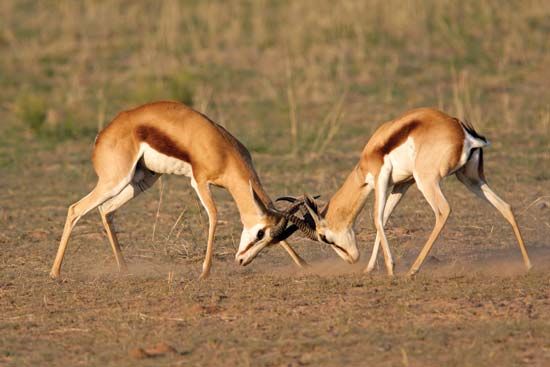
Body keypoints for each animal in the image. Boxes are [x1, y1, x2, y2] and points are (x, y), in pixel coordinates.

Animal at [49, 100, 308, 278]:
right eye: (260, 234)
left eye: (269, 239)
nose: (242, 261)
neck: (223, 150)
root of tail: (102, 135)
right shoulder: (199, 182)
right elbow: (214, 216)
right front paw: (204, 272)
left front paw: (302, 263)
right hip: (115, 181)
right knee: (76, 209)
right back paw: (55, 273)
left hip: (141, 181)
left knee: (106, 210)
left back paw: (124, 268)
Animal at [276, 108, 536, 278]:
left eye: (324, 237)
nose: (352, 259)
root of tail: (464, 133)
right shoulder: (402, 184)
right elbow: (384, 218)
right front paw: (370, 268)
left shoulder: (380, 178)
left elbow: (377, 219)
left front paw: (390, 268)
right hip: (470, 179)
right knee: (505, 207)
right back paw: (528, 265)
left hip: (427, 181)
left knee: (443, 211)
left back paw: (413, 269)